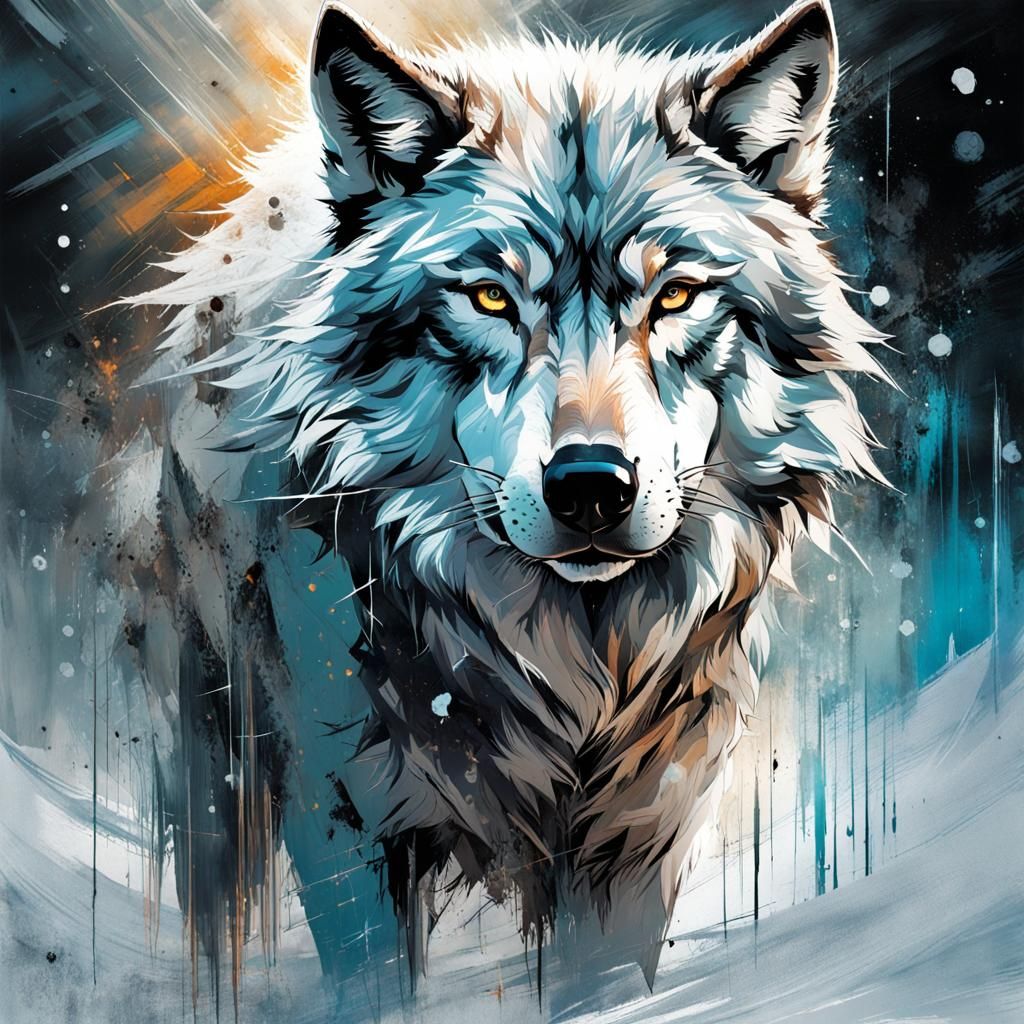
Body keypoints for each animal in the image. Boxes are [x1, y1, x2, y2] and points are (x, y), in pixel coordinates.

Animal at [134, 0, 889, 987]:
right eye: (491, 299)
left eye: (676, 295)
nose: (592, 487)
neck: (569, 670)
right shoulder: (349, 823)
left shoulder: (643, 832)